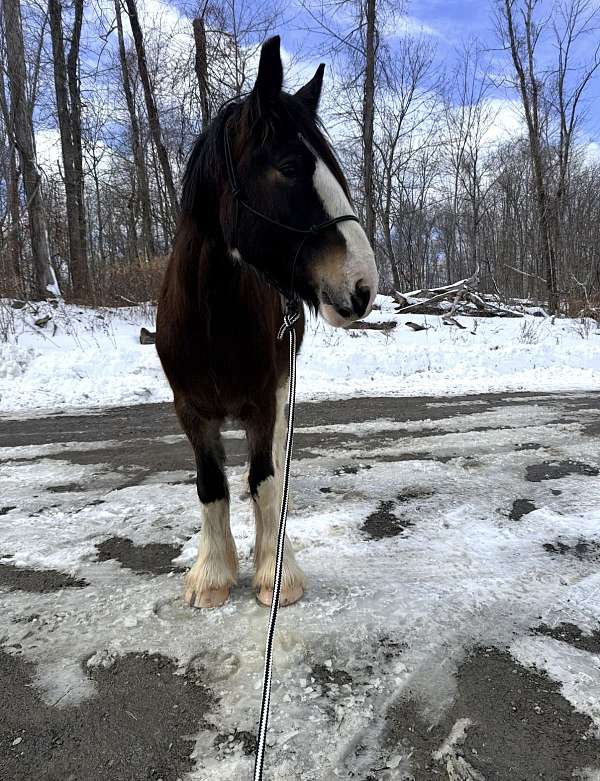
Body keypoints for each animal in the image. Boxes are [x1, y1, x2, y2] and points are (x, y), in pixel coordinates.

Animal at [156, 36, 378, 610]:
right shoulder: (190, 410)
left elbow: (263, 479)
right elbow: (211, 485)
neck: (213, 324)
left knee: (273, 463)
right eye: (289, 166)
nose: (362, 286)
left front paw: (275, 571)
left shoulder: (262, 401)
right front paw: (212, 575)